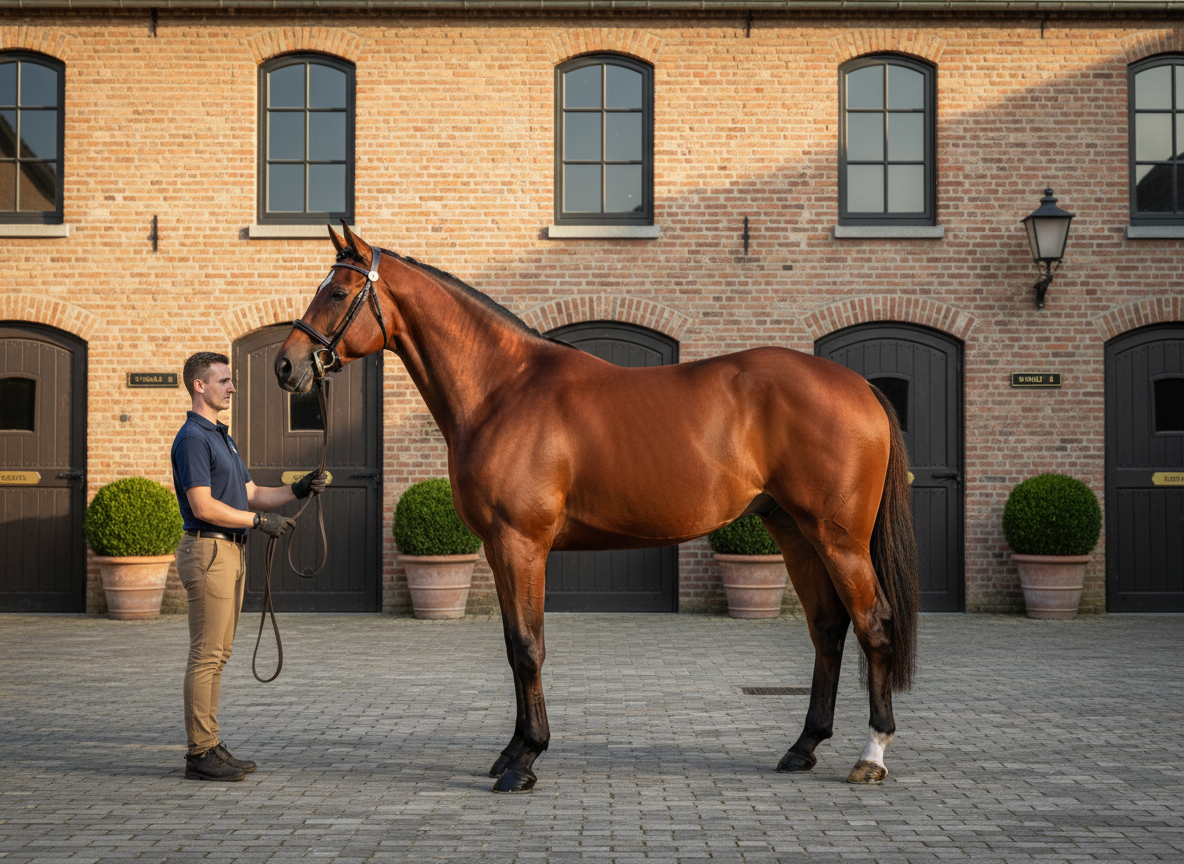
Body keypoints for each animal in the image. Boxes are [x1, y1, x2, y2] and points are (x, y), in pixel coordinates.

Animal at [274, 223, 919, 793]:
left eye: (336, 292)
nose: (287, 365)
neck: (503, 390)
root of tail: (859, 386)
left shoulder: (521, 543)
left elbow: (528, 647)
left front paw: (524, 761)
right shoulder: (498, 547)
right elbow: (512, 645)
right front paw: (512, 749)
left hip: (838, 538)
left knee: (874, 625)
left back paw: (871, 756)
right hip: (793, 531)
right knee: (828, 628)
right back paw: (803, 748)